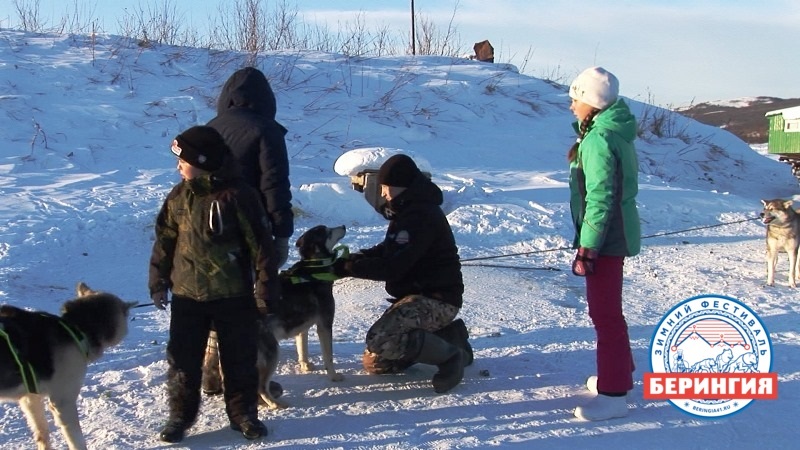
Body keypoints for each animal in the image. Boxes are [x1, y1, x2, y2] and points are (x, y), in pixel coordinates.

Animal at [202, 224, 346, 408]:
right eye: (328, 231)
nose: (343, 226)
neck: (313, 270)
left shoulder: (302, 328)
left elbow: (303, 350)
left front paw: (306, 366)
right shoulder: (325, 325)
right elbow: (329, 356)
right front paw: (334, 376)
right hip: (271, 352)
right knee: (261, 386)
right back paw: (276, 404)